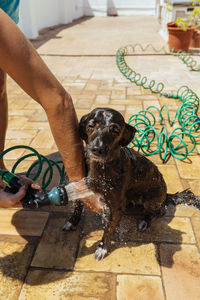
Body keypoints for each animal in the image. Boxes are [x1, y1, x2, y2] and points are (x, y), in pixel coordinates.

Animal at [63, 107, 199, 260]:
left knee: (160, 211)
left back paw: (145, 221)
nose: (97, 148)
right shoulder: (80, 187)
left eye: (115, 130)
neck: (101, 167)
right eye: (91, 125)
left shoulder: (117, 206)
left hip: (150, 200)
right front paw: (72, 222)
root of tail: (166, 195)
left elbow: (109, 228)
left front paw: (103, 248)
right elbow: (77, 207)